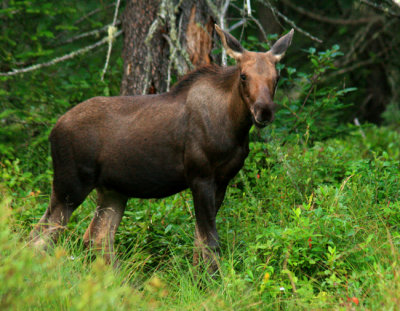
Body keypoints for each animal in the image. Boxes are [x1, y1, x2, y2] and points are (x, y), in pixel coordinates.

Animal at [30, 25, 294, 272]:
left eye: (276, 77)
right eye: (244, 76)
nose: (264, 111)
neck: (234, 126)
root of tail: (53, 131)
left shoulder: (222, 181)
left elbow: (200, 242)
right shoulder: (200, 176)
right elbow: (210, 242)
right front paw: (212, 283)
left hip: (112, 190)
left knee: (97, 236)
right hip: (70, 184)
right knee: (41, 234)